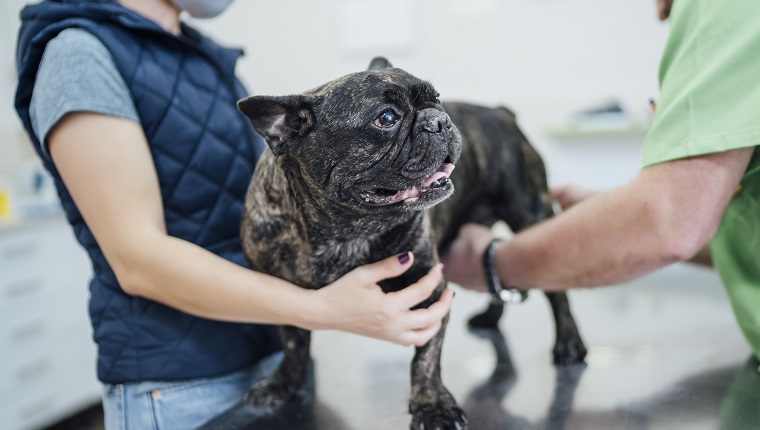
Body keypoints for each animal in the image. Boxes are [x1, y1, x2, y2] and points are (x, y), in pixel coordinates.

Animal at [238, 58, 588, 430]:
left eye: (437, 98)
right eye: (386, 118)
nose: (439, 120)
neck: (344, 230)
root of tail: (500, 112)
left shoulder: (430, 288)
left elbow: (425, 359)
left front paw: (432, 405)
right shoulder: (283, 292)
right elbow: (293, 342)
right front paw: (283, 382)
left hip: (530, 211)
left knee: (556, 292)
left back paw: (568, 342)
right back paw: (491, 318)